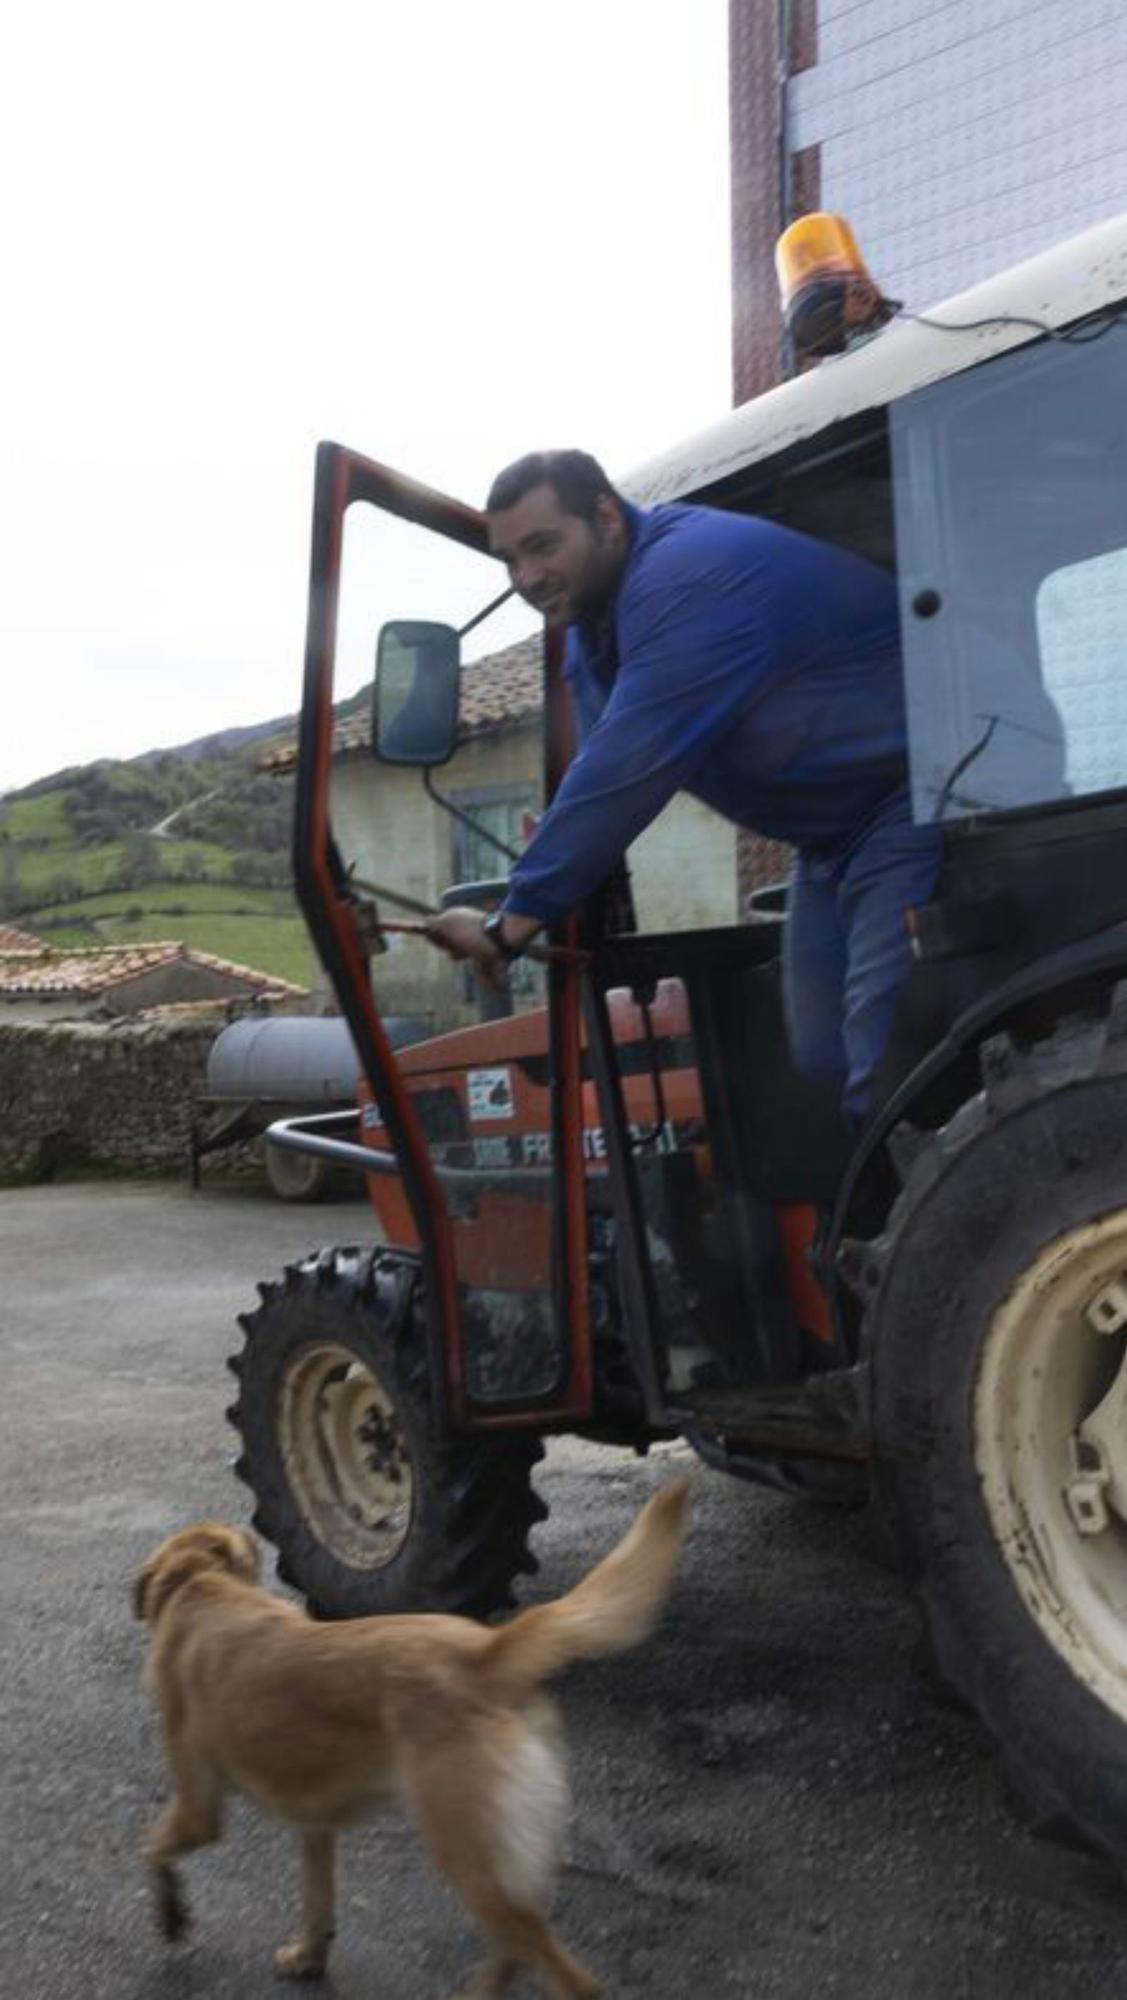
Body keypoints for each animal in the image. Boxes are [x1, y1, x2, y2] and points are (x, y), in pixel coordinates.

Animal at [134, 1480, 691, 1992]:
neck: (200, 1584)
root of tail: (487, 1653)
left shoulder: (197, 1807)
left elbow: (153, 1847)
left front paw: (171, 1916)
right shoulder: (315, 1824)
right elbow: (317, 1898)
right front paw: (308, 1956)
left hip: (468, 1850)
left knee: (559, 1968)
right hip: (502, 1859)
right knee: (514, 1948)